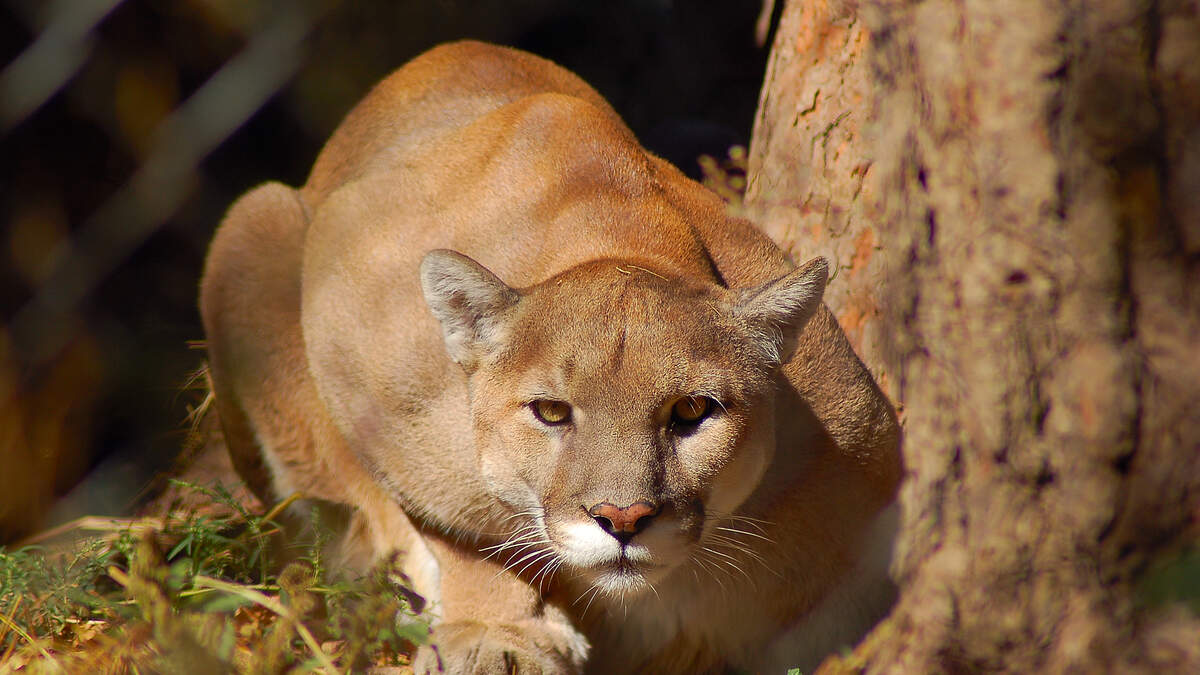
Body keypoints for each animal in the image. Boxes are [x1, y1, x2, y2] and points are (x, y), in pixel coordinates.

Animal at [201, 39, 902, 667]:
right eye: (551, 413)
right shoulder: (358, 354)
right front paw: (499, 635)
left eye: (692, 412)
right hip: (254, 222)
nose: (623, 518)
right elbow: (462, 529)